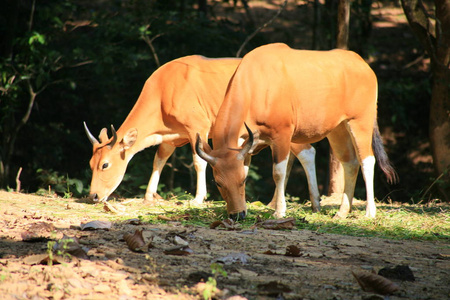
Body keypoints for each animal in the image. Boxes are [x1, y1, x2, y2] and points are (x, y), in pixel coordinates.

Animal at [84, 55, 322, 209]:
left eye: (105, 165)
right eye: (91, 163)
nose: (93, 196)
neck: (163, 92)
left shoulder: (197, 127)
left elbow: (199, 161)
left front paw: (199, 198)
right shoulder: (170, 137)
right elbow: (158, 160)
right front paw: (149, 195)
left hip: (286, 128)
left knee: (306, 152)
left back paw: (315, 202)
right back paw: (274, 203)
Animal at [197, 42, 398, 219]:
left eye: (242, 181)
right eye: (218, 183)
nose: (237, 214)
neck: (256, 86)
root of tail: (362, 64)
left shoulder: (282, 135)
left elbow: (278, 172)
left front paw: (279, 212)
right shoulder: (245, 143)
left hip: (360, 121)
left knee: (367, 160)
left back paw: (370, 212)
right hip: (338, 129)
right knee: (350, 162)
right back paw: (341, 213)